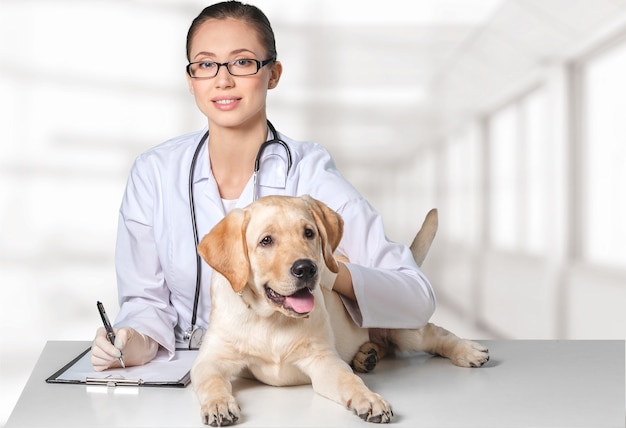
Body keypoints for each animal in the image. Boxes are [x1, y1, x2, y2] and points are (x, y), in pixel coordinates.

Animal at [190, 196, 488, 426]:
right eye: (266, 241)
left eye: (309, 233)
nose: (307, 268)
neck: (272, 319)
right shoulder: (210, 360)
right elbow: (211, 381)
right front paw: (218, 404)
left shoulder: (323, 360)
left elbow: (348, 380)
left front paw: (369, 399)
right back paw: (366, 355)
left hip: (401, 322)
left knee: (434, 334)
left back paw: (467, 350)